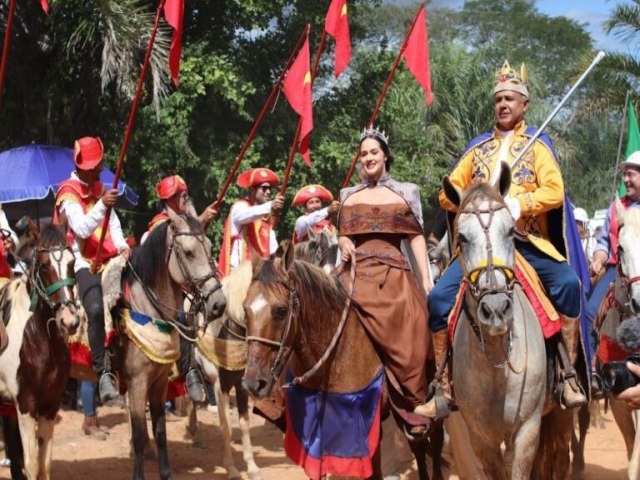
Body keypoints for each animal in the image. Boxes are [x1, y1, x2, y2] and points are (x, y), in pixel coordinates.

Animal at [0, 225, 82, 480]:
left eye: (72, 262)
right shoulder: (26, 405)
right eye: (44, 266)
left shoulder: (50, 404)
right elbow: (33, 464)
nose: (69, 321)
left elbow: (45, 464)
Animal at [105, 210, 225, 480]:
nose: (218, 304)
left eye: (209, 247)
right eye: (189, 252)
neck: (145, 308)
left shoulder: (159, 382)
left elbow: (160, 432)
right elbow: (141, 433)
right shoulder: (138, 382)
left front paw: (166, 473)